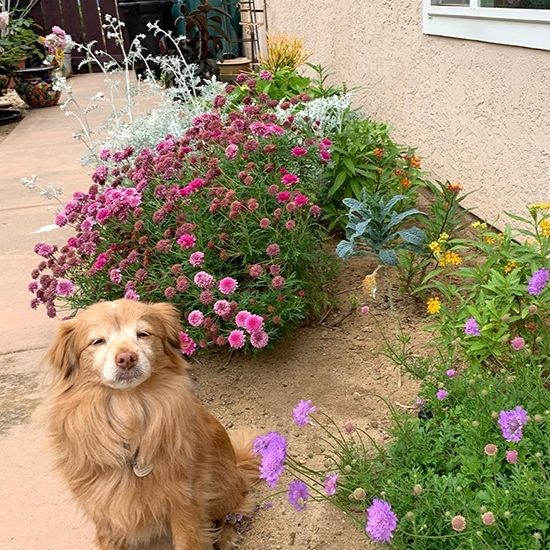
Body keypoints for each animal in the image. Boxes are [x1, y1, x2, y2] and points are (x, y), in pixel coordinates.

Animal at [44, 300, 260, 548]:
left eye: (143, 334)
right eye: (97, 341)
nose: (126, 358)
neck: (128, 409)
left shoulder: (184, 501)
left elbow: (189, 541)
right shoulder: (103, 508)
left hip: (222, 486)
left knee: (239, 505)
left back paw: (227, 534)